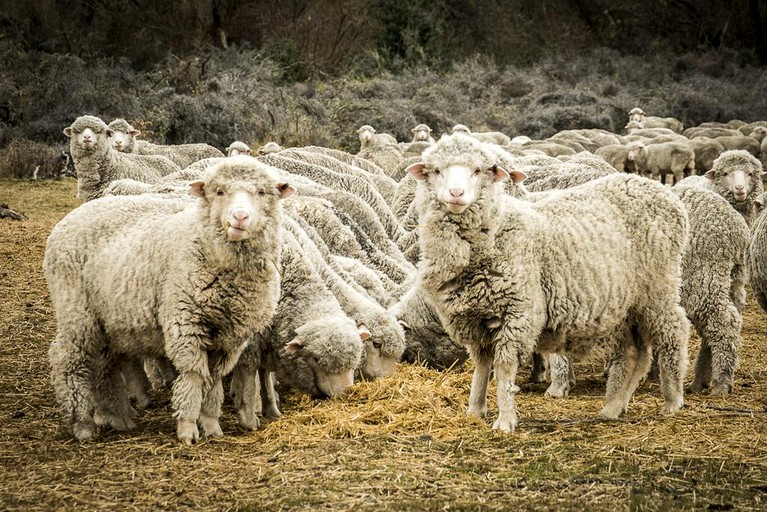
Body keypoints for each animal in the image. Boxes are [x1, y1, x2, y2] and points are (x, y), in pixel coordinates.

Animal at [45, 156, 294, 444]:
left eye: (262, 192)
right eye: (219, 192)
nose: (240, 217)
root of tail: (69, 219)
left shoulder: (230, 338)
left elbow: (214, 379)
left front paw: (211, 424)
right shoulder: (185, 324)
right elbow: (194, 376)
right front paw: (187, 428)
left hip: (108, 319)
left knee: (105, 365)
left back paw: (118, 417)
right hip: (76, 309)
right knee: (68, 360)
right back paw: (83, 425)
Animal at [228, 224, 366, 428]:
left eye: (355, 360)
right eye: (316, 359)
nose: (346, 392)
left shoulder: (267, 341)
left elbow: (265, 376)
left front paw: (272, 411)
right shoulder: (250, 342)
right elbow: (249, 379)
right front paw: (248, 419)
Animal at [412, 132, 692, 432]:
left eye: (477, 170)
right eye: (437, 170)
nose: (456, 194)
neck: (496, 229)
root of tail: (658, 189)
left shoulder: (518, 312)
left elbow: (504, 368)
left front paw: (505, 419)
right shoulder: (475, 319)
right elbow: (482, 366)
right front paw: (475, 409)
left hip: (658, 286)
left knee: (674, 331)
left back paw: (672, 400)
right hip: (627, 303)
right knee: (634, 353)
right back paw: (614, 406)